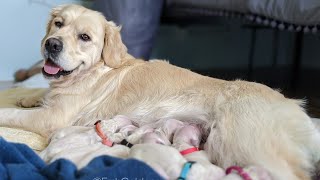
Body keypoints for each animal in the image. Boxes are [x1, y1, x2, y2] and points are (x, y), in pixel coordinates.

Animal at [0, 4, 320, 180]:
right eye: (58, 23)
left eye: (85, 37)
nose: (51, 44)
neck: (95, 70)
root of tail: (298, 109)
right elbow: (37, 94)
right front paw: (26, 95)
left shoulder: (53, 118)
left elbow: (12, 113)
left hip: (240, 143)